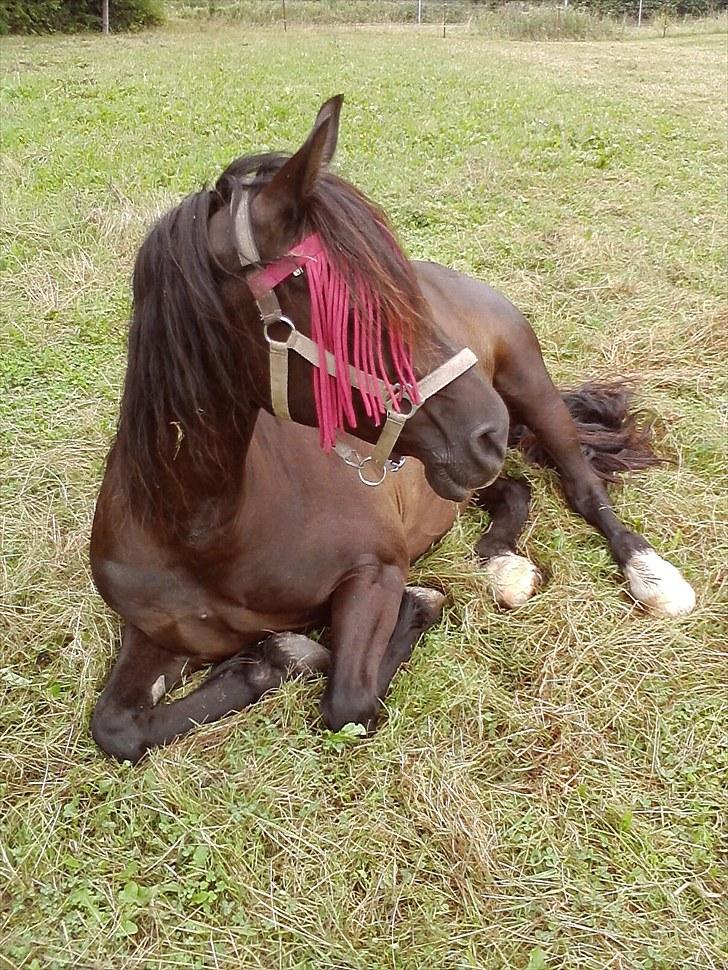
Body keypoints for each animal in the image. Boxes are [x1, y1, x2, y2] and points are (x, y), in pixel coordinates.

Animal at [89, 94, 692, 760]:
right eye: (344, 307)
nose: (488, 429)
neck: (203, 527)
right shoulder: (154, 633)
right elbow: (115, 727)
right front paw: (264, 661)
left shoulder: (375, 571)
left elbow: (349, 700)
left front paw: (360, 627)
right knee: (512, 489)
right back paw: (502, 563)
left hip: (530, 393)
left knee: (584, 487)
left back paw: (651, 574)